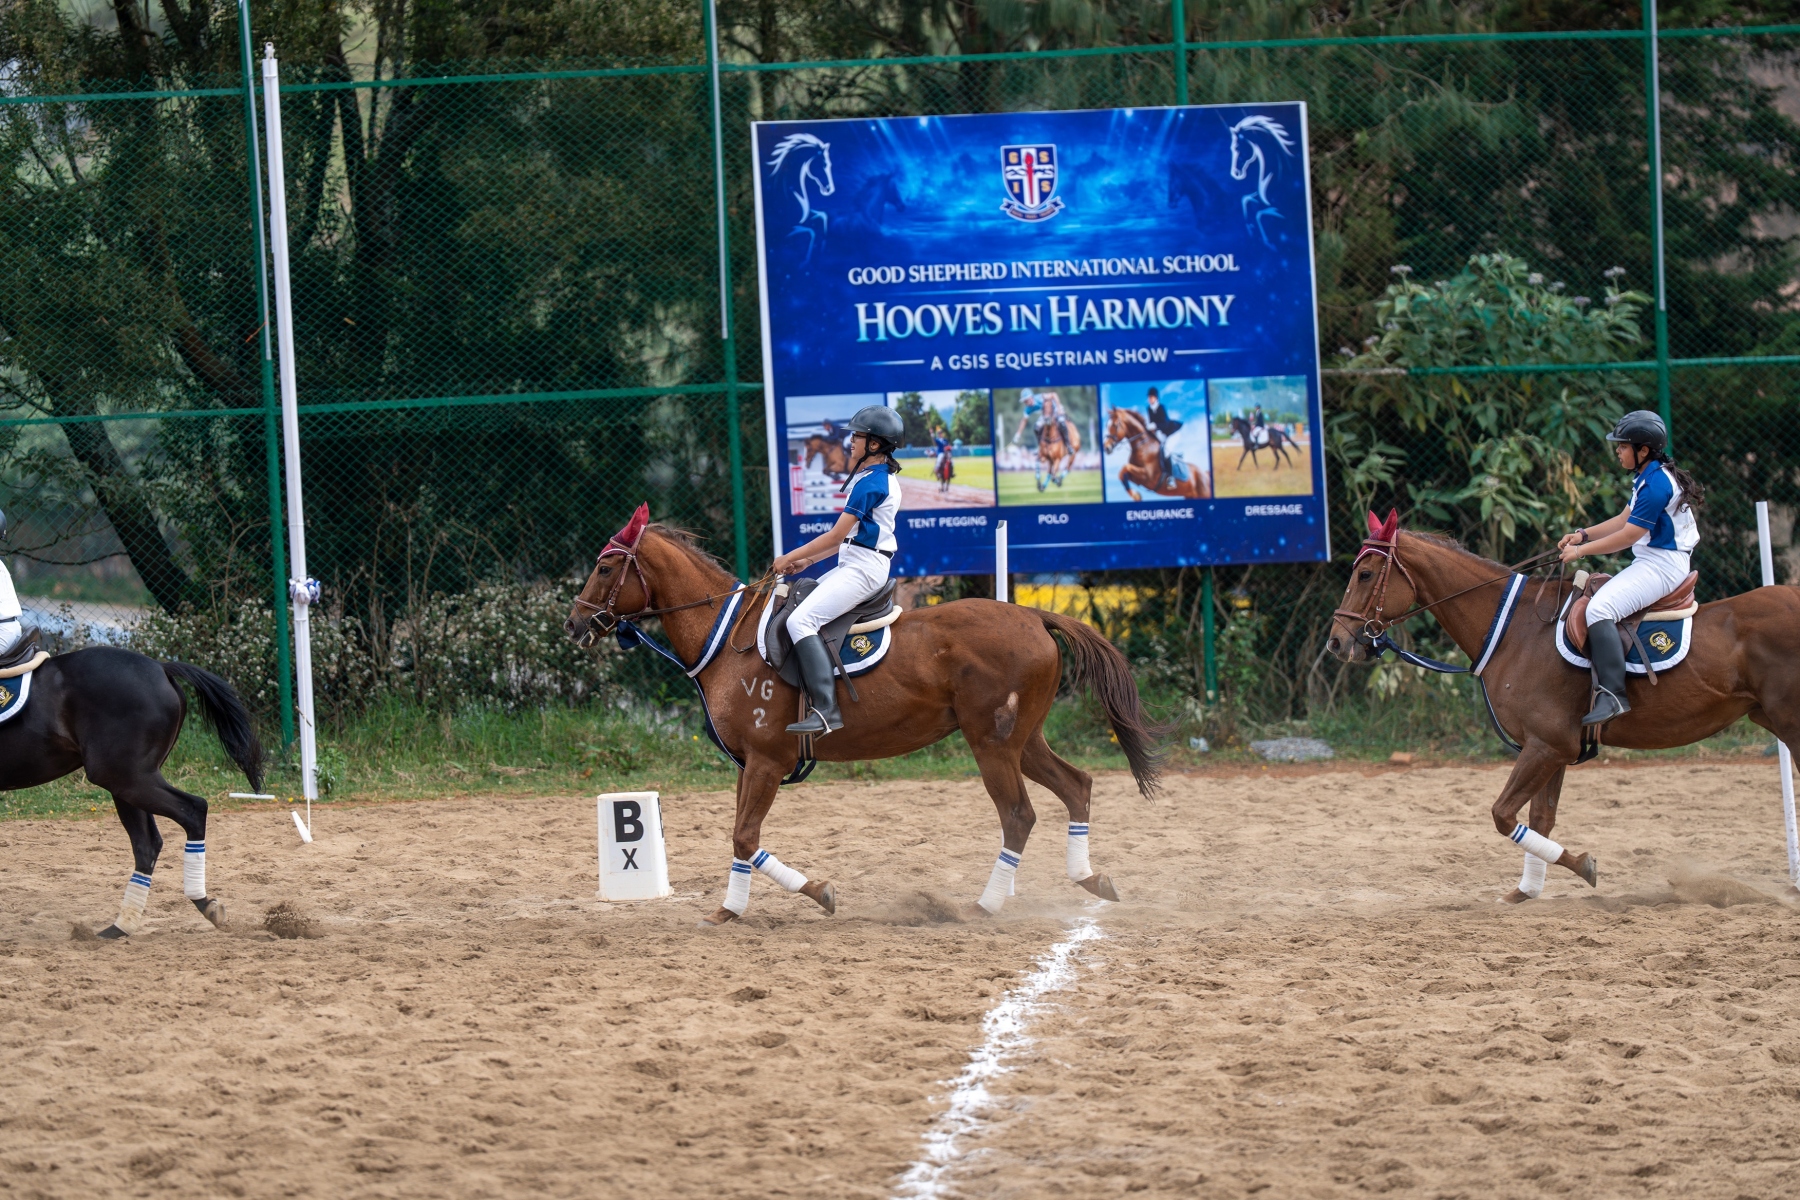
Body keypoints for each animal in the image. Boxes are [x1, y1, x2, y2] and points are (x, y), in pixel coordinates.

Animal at [0, 647, 264, 937]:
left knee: (193, 810)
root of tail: (161, 667)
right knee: (147, 843)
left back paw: (201, 903)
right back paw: (122, 926)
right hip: (127, 782)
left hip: (126, 778)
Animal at [565, 507, 1163, 926]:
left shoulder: (766, 760)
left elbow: (744, 836)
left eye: (605, 566)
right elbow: (742, 838)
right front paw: (733, 909)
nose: (574, 624)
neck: (730, 638)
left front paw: (812, 894)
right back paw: (1091, 880)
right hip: (1024, 740)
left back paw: (985, 906)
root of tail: (1034, 616)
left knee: (1018, 815)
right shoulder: (747, 764)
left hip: (992, 745)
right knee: (1077, 785)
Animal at [765, 133, 836, 262]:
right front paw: (806, 260)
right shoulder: (788, 226)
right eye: (824, 165)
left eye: (830, 165)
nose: (831, 189)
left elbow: (823, 217)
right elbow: (812, 231)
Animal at [1228, 115, 1296, 247]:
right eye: (1231, 149)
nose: (1234, 173)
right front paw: (1250, 229)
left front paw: (1266, 241)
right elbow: (1246, 200)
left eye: (1237, 148)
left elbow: (1259, 213)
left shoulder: (1280, 208)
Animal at [1327, 509, 1800, 903]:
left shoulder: (1547, 745)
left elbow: (1504, 815)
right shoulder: (1551, 749)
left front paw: (1583, 866)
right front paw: (1525, 892)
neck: (1515, 630)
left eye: (1365, 574)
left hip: (1790, 724)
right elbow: (1539, 818)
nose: (1336, 643)